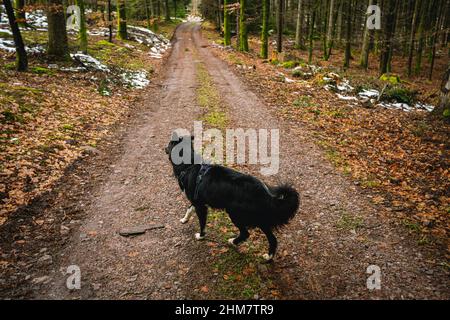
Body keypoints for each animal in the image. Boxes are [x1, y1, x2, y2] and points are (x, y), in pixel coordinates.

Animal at [165, 134, 298, 262]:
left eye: (169, 143)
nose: (164, 148)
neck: (189, 165)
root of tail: (265, 194)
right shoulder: (197, 200)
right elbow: (189, 209)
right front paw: (184, 219)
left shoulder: (200, 206)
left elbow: (202, 223)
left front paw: (201, 236)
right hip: (259, 218)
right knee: (272, 239)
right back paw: (269, 257)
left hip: (235, 214)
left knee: (246, 234)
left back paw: (233, 242)